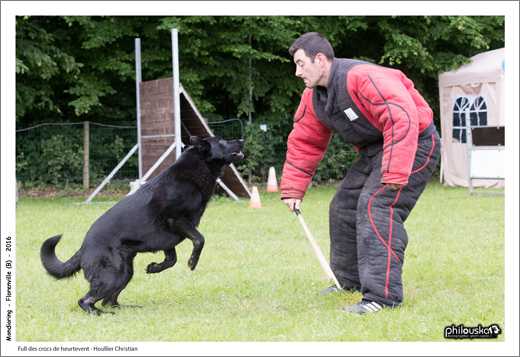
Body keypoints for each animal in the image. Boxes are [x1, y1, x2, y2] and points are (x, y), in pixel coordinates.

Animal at [40, 135, 244, 312]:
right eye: (221, 141)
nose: (241, 140)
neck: (191, 174)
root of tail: (83, 248)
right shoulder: (178, 220)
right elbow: (200, 239)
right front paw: (193, 261)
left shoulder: (169, 239)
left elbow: (171, 260)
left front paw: (155, 268)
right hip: (113, 276)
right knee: (86, 301)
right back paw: (99, 313)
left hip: (125, 273)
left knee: (109, 301)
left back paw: (124, 309)